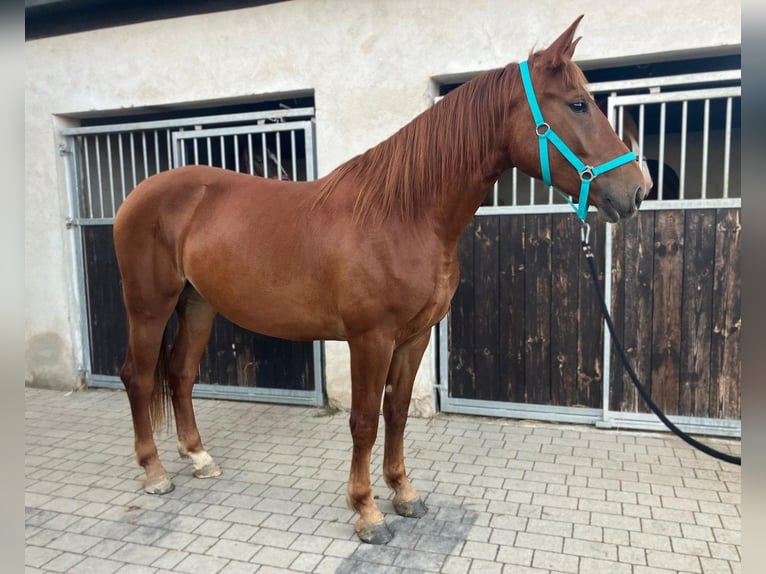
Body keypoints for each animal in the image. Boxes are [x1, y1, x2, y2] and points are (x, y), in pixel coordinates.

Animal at [113, 15, 646, 545]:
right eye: (578, 104)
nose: (638, 190)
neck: (404, 215)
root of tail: (140, 194)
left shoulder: (414, 337)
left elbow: (398, 413)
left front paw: (404, 493)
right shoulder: (370, 339)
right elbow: (365, 420)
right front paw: (367, 512)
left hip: (197, 305)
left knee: (181, 374)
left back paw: (199, 458)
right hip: (149, 307)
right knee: (138, 377)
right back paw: (155, 472)